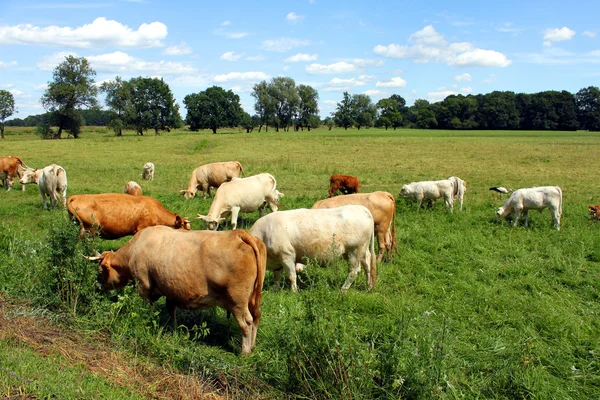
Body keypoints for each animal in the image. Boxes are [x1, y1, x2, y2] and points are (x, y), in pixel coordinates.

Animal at [86, 227, 264, 354]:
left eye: (100, 270)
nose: (97, 286)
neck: (134, 249)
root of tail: (238, 233)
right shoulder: (171, 289)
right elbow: (171, 310)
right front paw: (173, 328)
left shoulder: (143, 284)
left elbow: (147, 307)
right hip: (253, 299)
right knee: (256, 317)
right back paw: (253, 346)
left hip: (237, 302)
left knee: (246, 322)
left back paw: (244, 351)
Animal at [248, 205, 376, 292]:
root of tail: (361, 208)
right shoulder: (277, 260)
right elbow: (277, 276)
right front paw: (275, 289)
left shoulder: (287, 255)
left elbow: (291, 275)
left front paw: (293, 291)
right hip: (362, 251)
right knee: (367, 266)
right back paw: (369, 286)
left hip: (354, 251)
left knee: (354, 271)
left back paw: (343, 290)